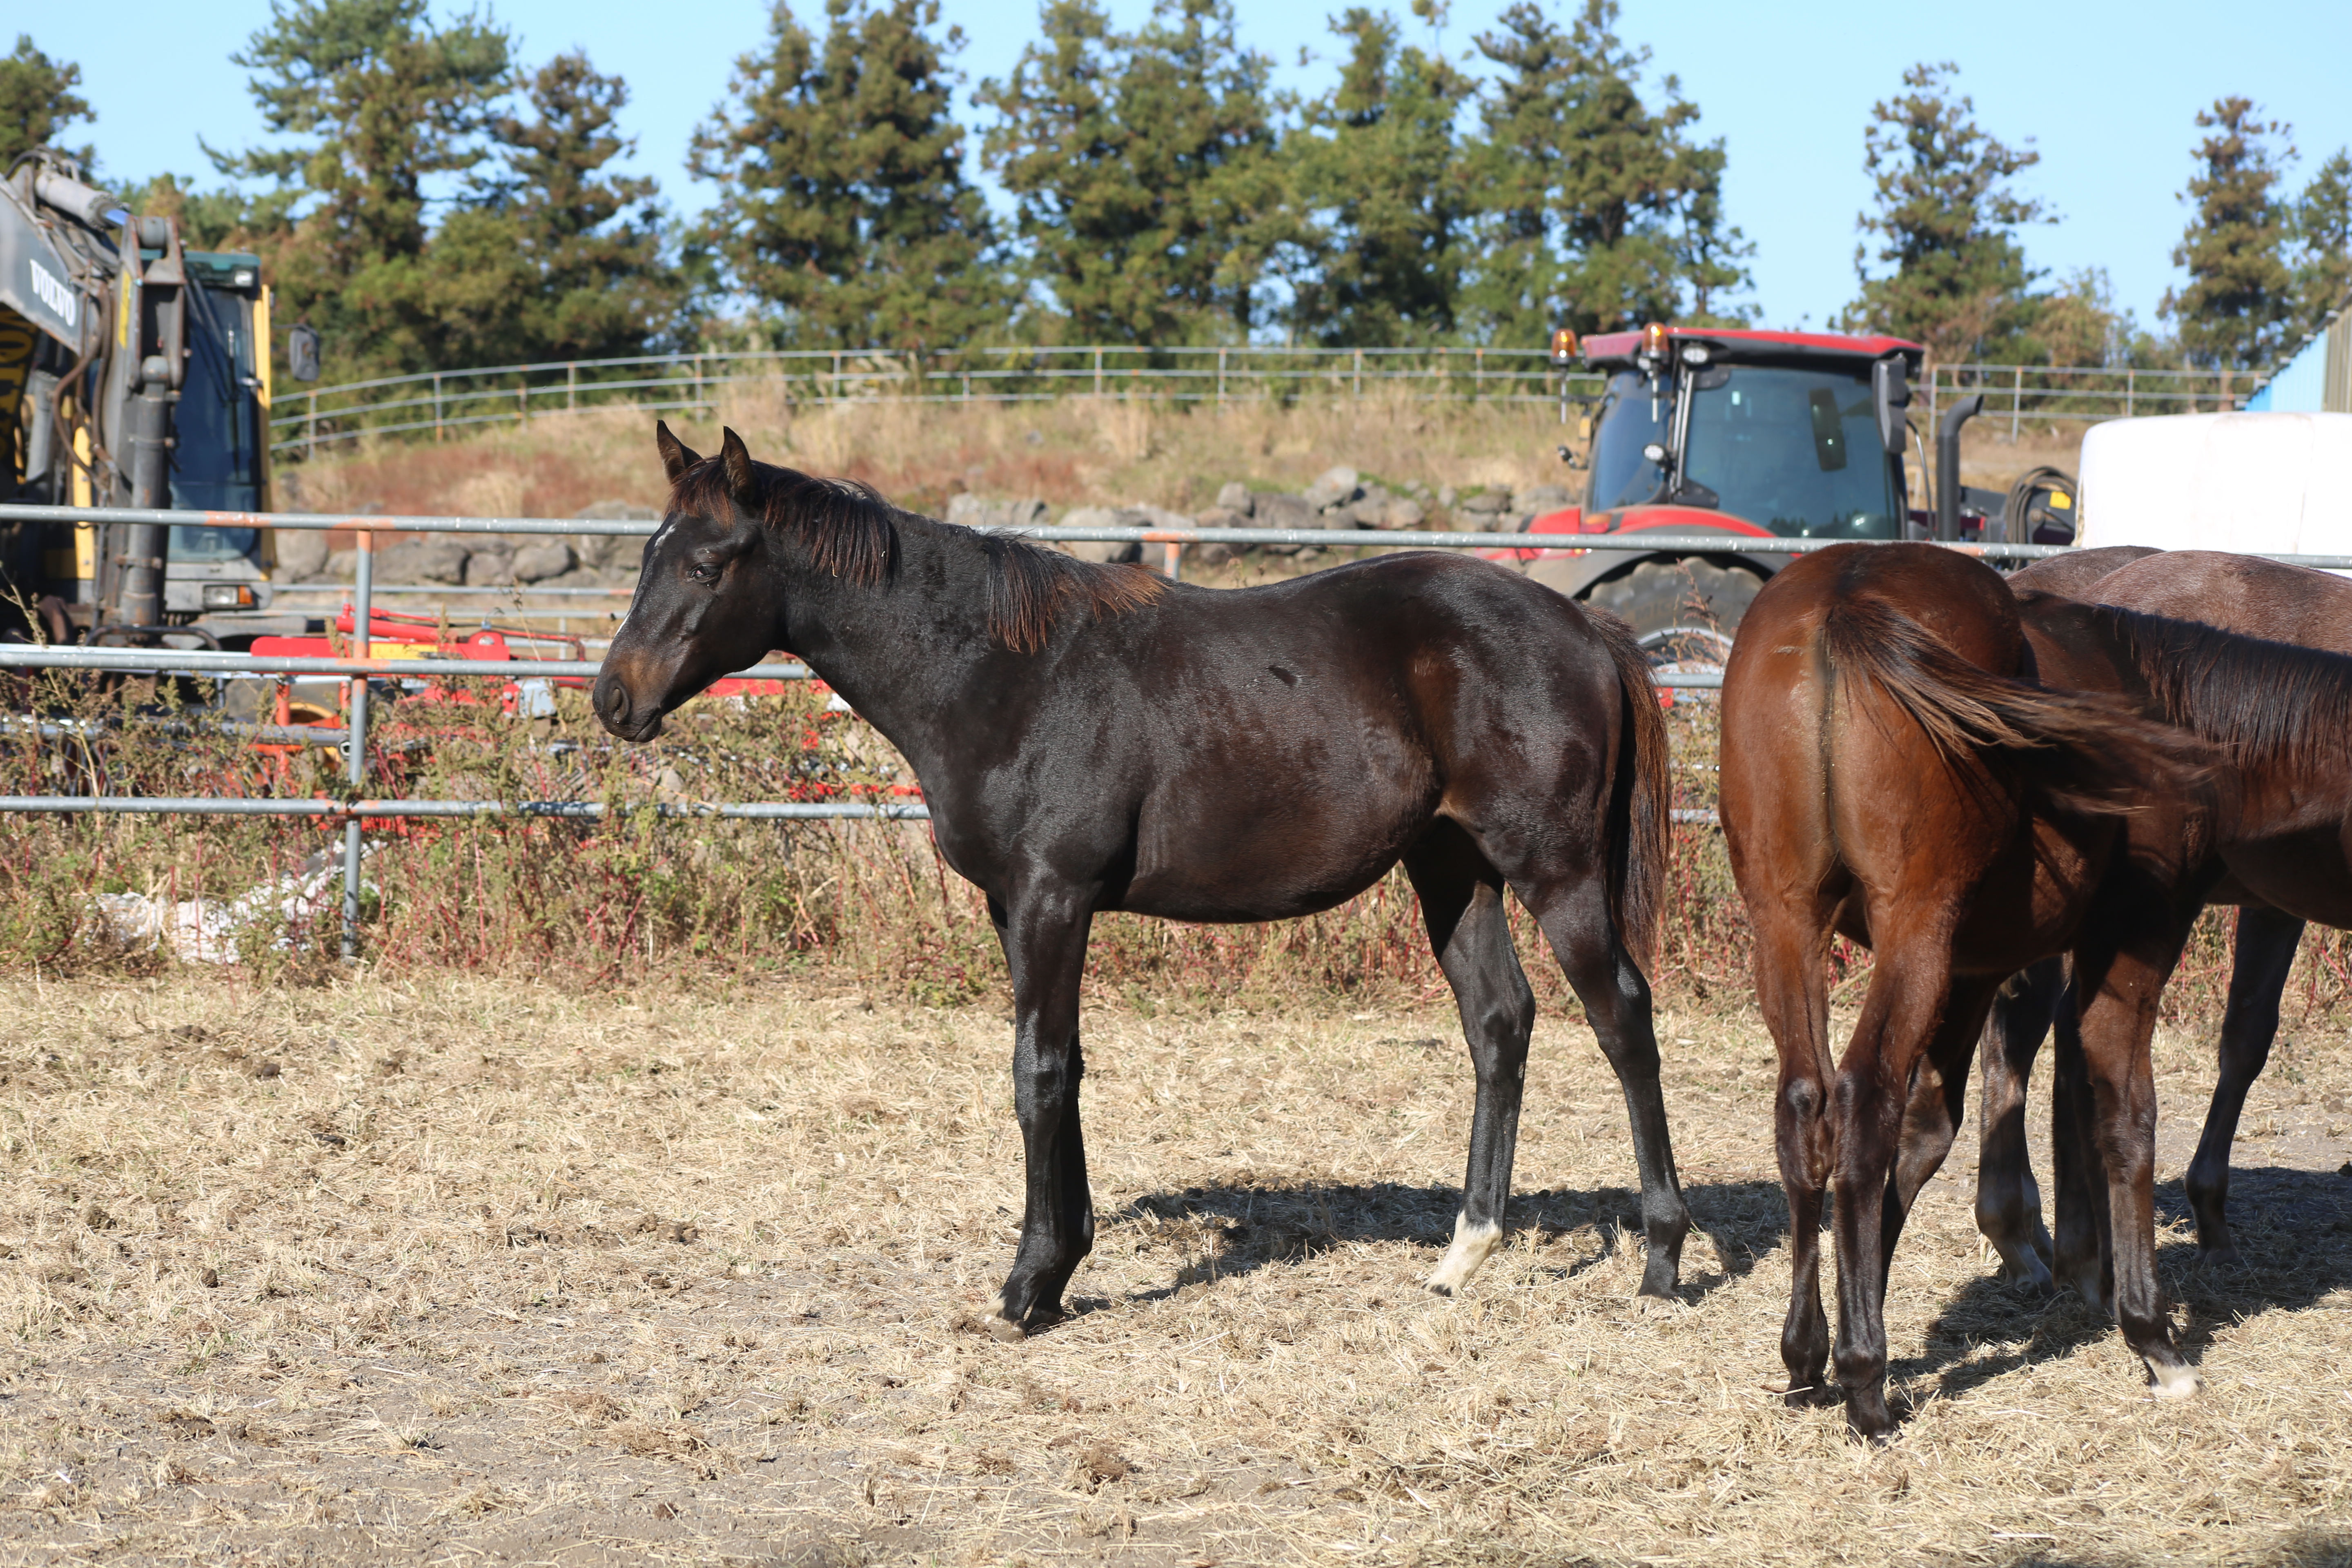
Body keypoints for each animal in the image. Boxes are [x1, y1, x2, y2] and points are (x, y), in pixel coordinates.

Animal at [588, 425, 1693, 1335]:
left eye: (706, 561)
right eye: (645, 554)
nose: (612, 699)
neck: (1000, 672)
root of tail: (1583, 627)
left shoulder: (1051, 896)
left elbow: (1036, 1072)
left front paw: (1028, 1285)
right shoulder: (1016, 905)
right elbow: (1065, 1065)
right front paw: (1059, 1262)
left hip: (1555, 873)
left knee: (1622, 1018)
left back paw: (1662, 1257)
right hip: (1452, 869)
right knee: (1499, 1023)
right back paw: (1463, 1255)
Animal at [1722, 541, 2211, 1439]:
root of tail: (1846, 599)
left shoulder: (1980, 970)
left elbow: (1935, 1127)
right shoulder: (2122, 947)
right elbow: (2117, 1113)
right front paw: (2144, 1327)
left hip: (1786, 914)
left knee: (1807, 1106)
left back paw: (1807, 1358)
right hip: (1914, 927)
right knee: (1863, 1100)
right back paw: (1866, 1384)